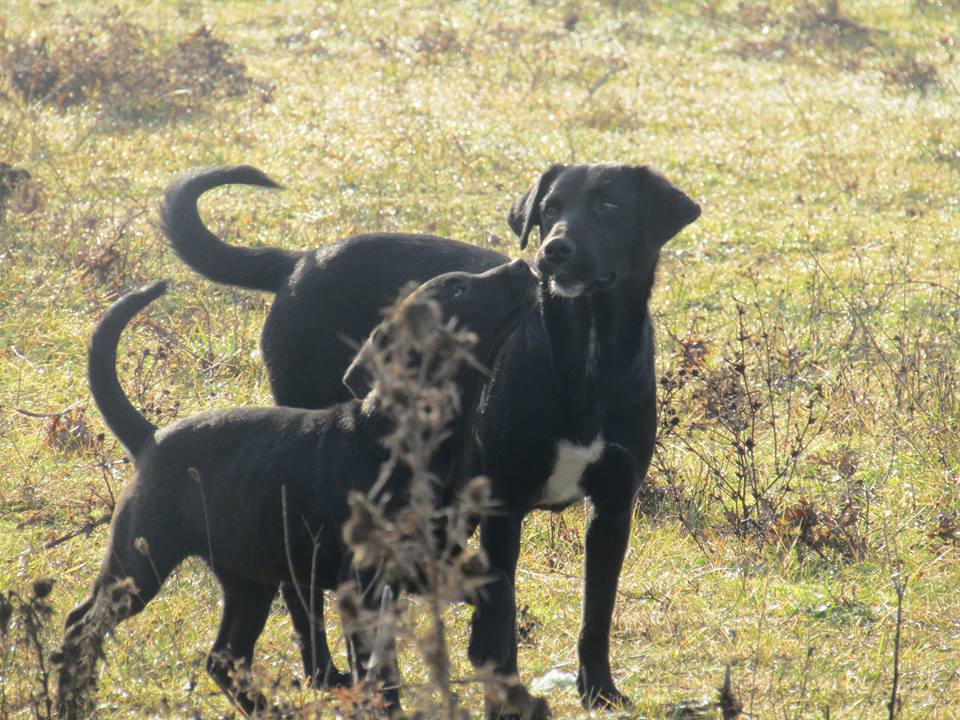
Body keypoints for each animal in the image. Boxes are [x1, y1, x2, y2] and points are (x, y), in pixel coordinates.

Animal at [59, 260, 538, 717]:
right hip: (142, 561)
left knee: (223, 656)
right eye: (459, 289)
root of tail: (151, 439)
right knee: (82, 624)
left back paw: (269, 710)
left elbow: (495, 591)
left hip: (249, 579)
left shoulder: (429, 562)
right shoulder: (361, 580)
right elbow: (379, 670)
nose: (522, 265)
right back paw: (70, 700)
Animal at [162, 162, 700, 716]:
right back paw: (324, 672)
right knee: (298, 583)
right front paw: (503, 692)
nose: (555, 250)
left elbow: (597, 611)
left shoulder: (613, 506)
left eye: (609, 206)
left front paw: (600, 691)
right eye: (550, 209)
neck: (584, 356)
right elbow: (502, 612)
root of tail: (299, 262)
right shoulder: (502, 507)